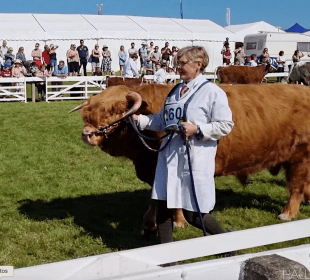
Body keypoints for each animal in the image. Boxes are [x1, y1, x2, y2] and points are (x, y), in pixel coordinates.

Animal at [72, 82, 310, 229]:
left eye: (114, 111)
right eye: (88, 113)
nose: (86, 134)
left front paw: (178, 222)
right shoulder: (152, 170)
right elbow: (155, 198)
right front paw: (149, 220)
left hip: (300, 158)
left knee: (296, 186)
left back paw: (288, 212)